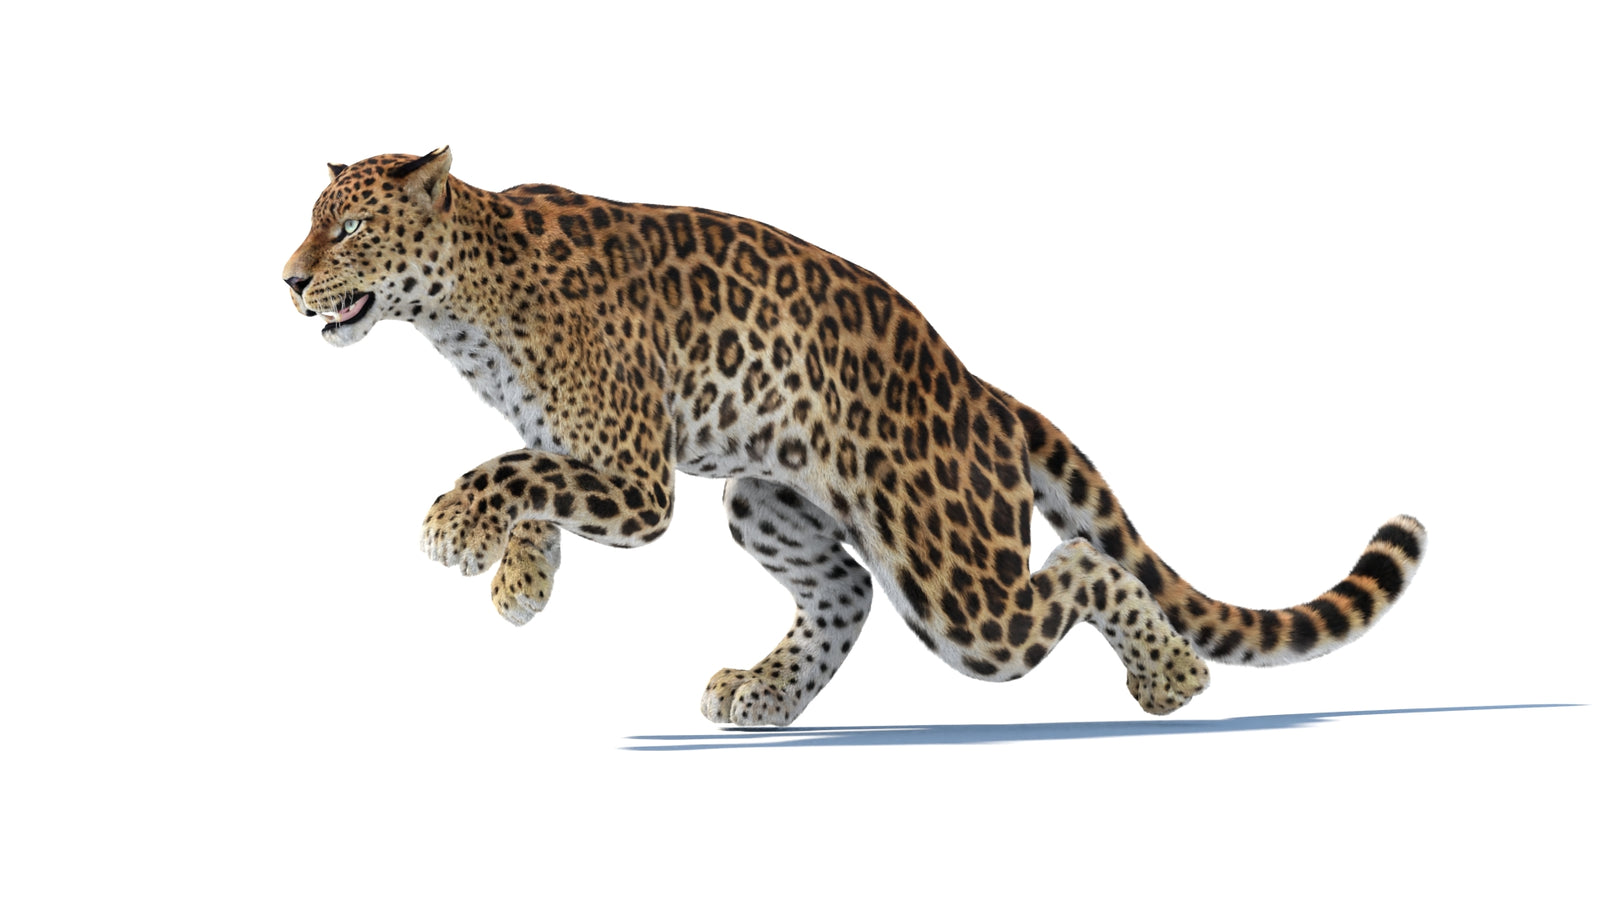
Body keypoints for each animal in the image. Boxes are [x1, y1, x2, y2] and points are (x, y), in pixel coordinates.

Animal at [282, 147, 1427, 726]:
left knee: (1078, 568)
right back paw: (759, 693)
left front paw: (456, 530)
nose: (289, 280)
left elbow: (516, 467)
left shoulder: (639, 480)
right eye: (312, 222)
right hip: (766, 501)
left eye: (349, 228)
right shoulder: (594, 455)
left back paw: (1170, 680)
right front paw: (519, 576)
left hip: (957, 579)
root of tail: (978, 388)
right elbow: (537, 476)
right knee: (846, 590)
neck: (459, 309)